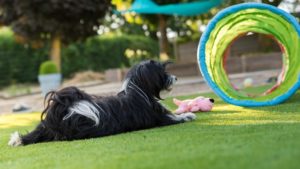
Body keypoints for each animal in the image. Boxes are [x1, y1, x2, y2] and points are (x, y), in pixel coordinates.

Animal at [8, 60, 196, 147]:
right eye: (163, 73)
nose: (176, 78)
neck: (137, 89)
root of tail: (62, 110)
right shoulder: (160, 118)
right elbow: (177, 118)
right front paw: (189, 114)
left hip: (44, 127)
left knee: (32, 135)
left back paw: (16, 139)